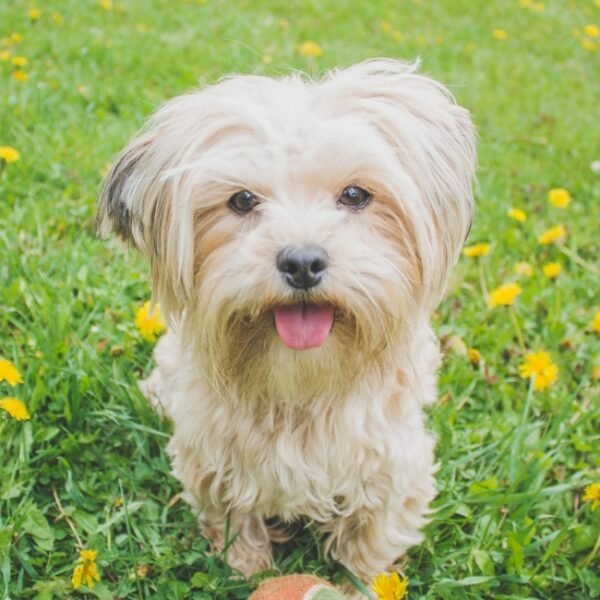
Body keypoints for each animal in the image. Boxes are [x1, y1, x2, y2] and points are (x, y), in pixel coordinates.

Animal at [96, 58, 476, 592]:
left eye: (355, 194)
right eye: (241, 201)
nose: (301, 262)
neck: (302, 389)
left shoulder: (395, 471)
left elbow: (369, 546)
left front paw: (359, 585)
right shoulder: (216, 466)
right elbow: (238, 525)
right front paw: (248, 571)